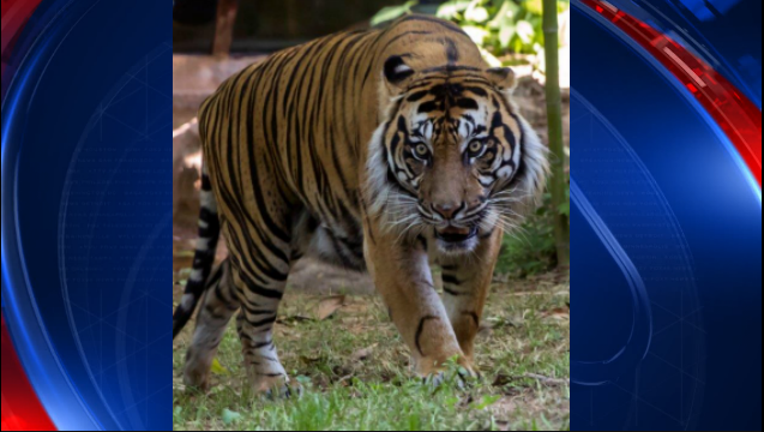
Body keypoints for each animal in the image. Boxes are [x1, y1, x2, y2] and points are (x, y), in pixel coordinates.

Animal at [172, 13, 548, 396]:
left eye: (474, 147)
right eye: (420, 151)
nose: (447, 210)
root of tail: (212, 99)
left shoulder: (485, 229)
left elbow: (466, 309)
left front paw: (462, 361)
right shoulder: (388, 233)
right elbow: (424, 311)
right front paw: (443, 368)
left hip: (286, 237)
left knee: (219, 287)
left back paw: (196, 378)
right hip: (261, 236)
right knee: (250, 320)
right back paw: (272, 386)